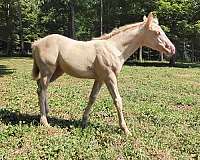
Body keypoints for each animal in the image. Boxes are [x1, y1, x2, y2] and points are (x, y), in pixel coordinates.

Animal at [31, 12, 175, 135]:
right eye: (157, 32)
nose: (172, 49)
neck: (114, 48)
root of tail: (36, 43)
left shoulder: (100, 78)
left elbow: (92, 98)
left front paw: (84, 121)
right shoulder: (110, 77)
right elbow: (117, 100)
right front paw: (125, 129)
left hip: (57, 71)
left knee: (40, 87)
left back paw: (47, 113)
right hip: (47, 71)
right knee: (42, 89)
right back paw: (44, 121)